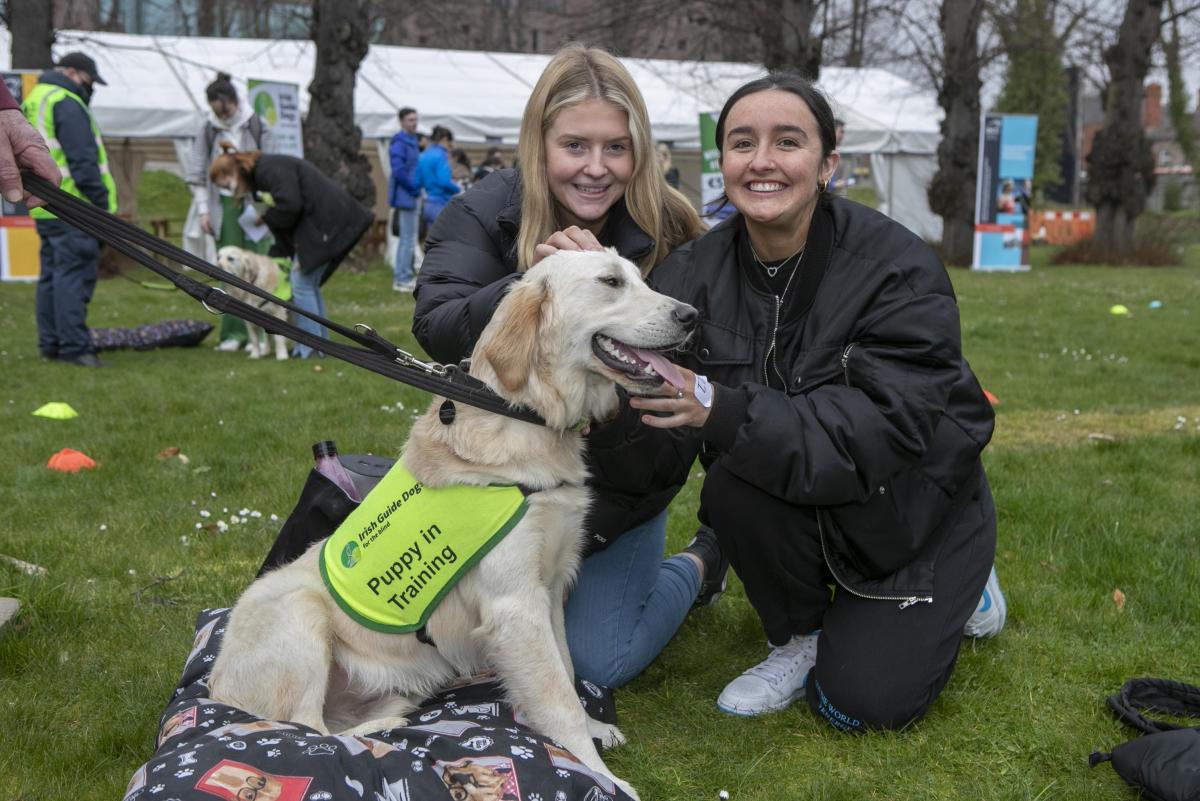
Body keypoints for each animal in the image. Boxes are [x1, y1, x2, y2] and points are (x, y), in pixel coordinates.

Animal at [211, 247, 700, 796]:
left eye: (642, 277)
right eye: (611, 282)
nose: (692, 316)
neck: (525, 413)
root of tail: (213, 686)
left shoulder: (550, 588)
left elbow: (567, 669)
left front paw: (593, 731)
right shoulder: (516, 604)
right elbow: (558, 697)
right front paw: (596, 771)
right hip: (299, 610)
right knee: (306, 728)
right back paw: (380, 730)